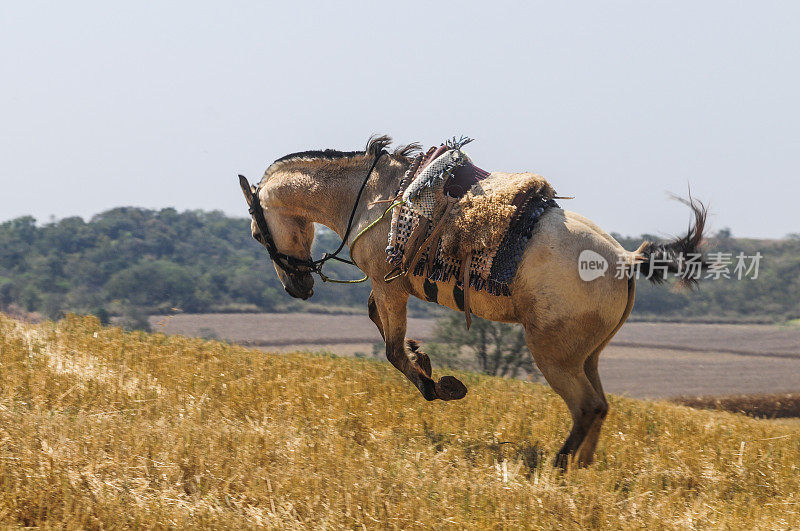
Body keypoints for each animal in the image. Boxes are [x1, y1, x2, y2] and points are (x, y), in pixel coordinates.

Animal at [238, 135, 708, 468]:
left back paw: (557, 467)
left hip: (554, 356)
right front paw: (423, 358)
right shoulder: (386, 288)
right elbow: (383, 327)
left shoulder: (390, 286)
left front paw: (438, 384)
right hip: (585, 356)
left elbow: (392, 350)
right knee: (600, 406)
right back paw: (583, 469)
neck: (372, 194)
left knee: (587, 406)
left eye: (258, 234)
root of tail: (626, 260)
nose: (296, 288)